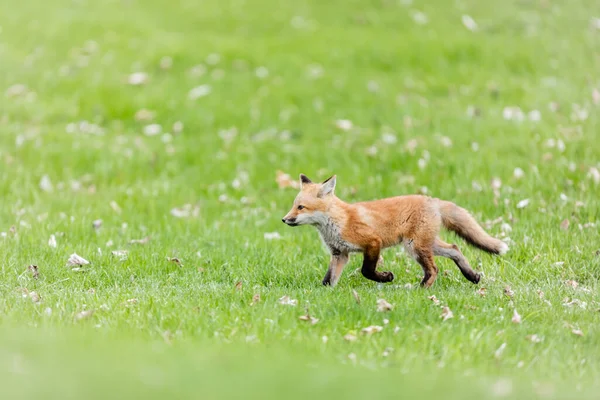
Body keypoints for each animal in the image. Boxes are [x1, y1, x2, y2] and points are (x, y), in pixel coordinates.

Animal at [284, 174, 508, 288]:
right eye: (294, 205)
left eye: (301, 207)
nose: (284, 219)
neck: (337, 222)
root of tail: (432, 200)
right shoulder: (340, 254)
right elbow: (328, 279)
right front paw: (324, 294)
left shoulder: (372, 242)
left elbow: (367, 271)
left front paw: (386, 277)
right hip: (425, 244)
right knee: (455, 248)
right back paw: (472, 276)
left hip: (414, 247)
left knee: (434, 269)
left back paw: (421, 289)